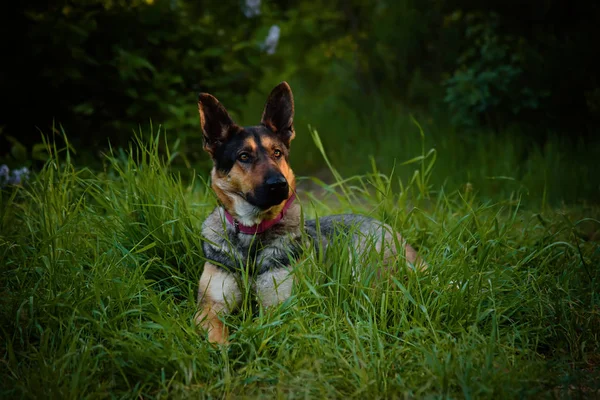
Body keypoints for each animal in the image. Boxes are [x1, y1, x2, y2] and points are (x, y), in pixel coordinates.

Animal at [195, 82, 424, 344]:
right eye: (244, 156)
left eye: (277, 153)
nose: (279, 184)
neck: (252, 233)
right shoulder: (210, 307)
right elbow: (217, 334)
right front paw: (224, 350)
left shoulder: (280, 305)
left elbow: (260, 326)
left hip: (364, 267)